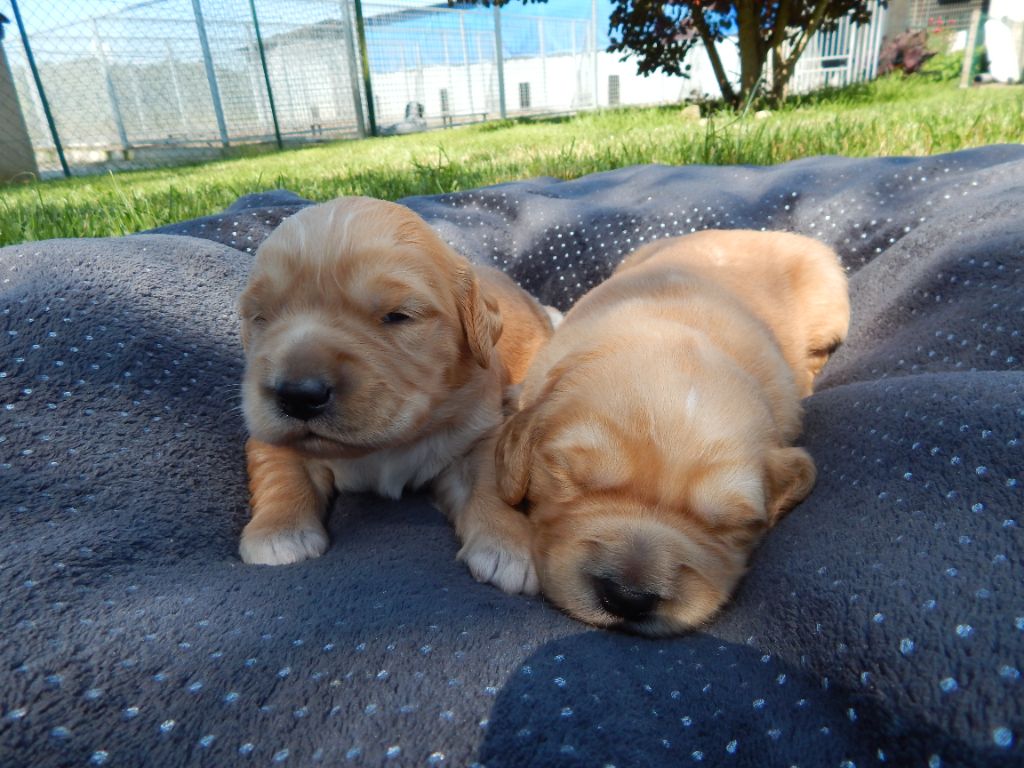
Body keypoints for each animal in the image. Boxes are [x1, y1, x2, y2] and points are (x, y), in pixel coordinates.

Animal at [236, 193, 557, 593]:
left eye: (397, 316)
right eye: (260, 317)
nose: (298, 395)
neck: (385, 447)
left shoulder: (480, 433)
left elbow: (489, 484)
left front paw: (508, 546)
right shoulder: (265, 434)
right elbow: (280, 471)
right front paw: (278, 532)